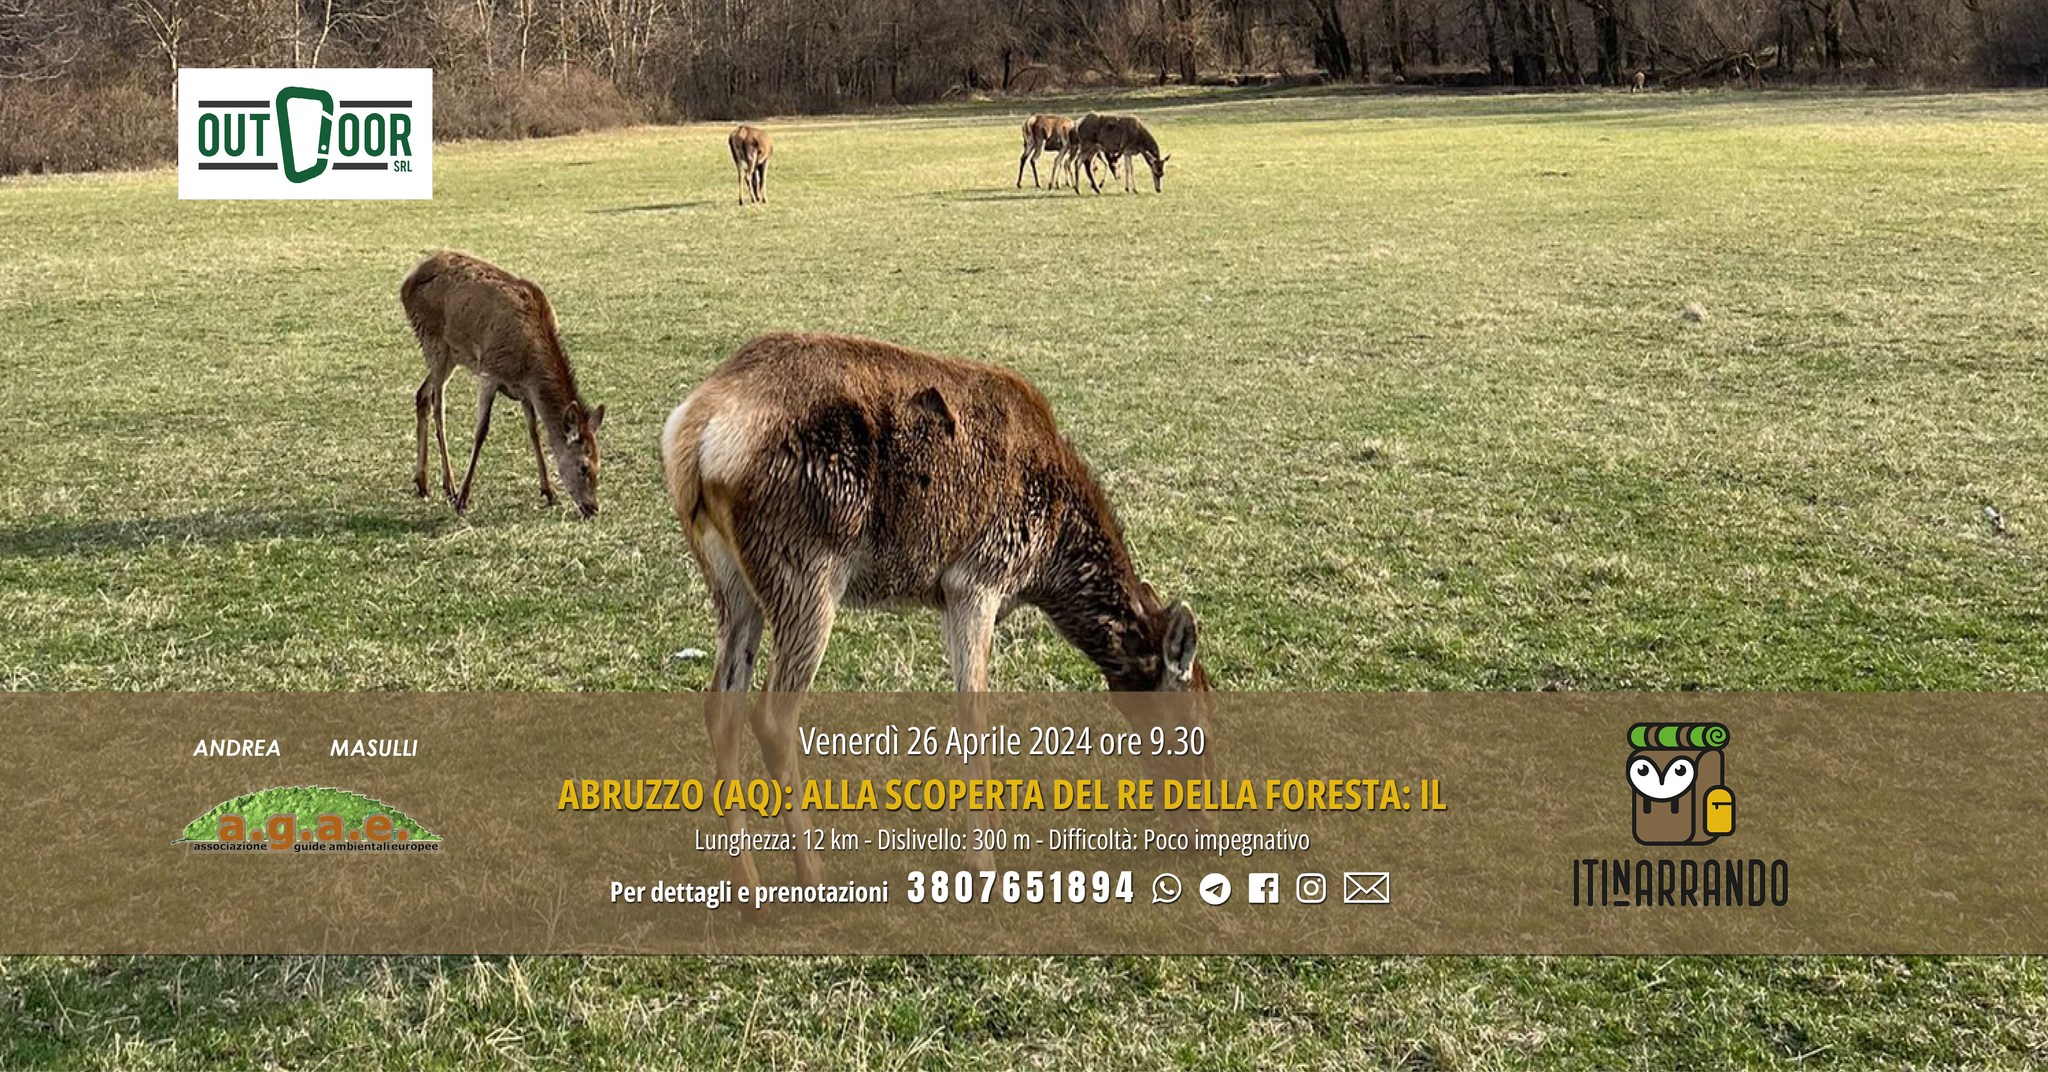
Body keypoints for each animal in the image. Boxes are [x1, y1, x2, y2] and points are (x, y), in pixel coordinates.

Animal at [400, 251, 606, 518]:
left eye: (599, 464)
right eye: (583, 467)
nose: (593, 507)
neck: (529, 367)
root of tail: (407, 282)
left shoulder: (525, 391)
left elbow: (533, 431)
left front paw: (550, 492)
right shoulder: (490, 371)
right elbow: (481, 431)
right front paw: (463, 499)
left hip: (452, 356)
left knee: (422, 395)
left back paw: (422, 483)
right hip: (433, 341)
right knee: (438, 407)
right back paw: (451, 486)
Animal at [661, 332, 1213, 902]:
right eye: (1200, 728)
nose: (1206, 829)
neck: (1049, 558)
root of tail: (692, 433)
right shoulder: (976, 578)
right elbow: (974, 715)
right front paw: (985, 863)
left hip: (731, 585)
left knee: (720, 709)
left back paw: (749, 890)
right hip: (808, 569)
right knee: (772, 717)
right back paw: (812, 874)